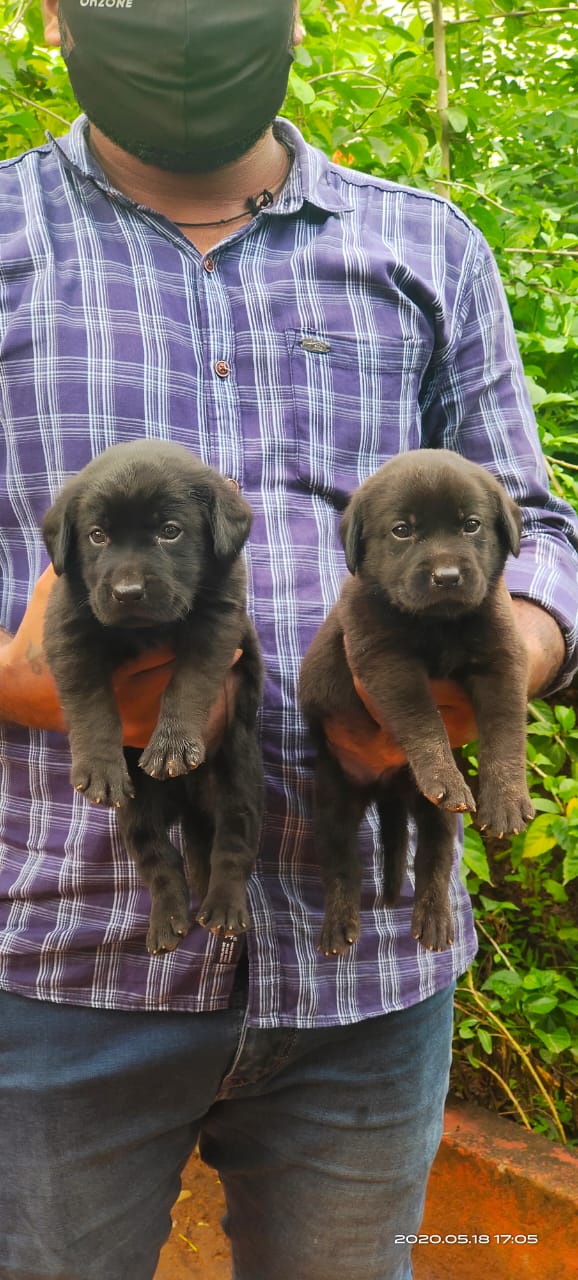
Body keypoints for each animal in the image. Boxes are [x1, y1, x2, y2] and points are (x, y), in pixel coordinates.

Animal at [42, 439, 263, 955]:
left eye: (170, 531)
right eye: (97, 536)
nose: (128, 592)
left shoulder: (217, 618)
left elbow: (187, 685)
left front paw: (172, 746)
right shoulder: (69, 627)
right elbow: (91, 704)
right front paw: (98, 767)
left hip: (238, 776)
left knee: (234, 843)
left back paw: (223, 908)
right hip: (137, 809)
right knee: (158, 858)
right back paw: (167, 921)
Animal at [300, 449, 534, 956]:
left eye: (471, 525)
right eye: (402, 530)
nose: (447, 577)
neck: (438, 624)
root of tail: (386, 789)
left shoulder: (503, 659)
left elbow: (506, 730)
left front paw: (507, 799)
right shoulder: (385, 661)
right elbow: (423, 721)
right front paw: (441, 772)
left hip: (437, 817)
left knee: (433, 861)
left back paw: (433, 920)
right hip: (333, 801)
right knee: (341, 867)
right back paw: (338, 926)